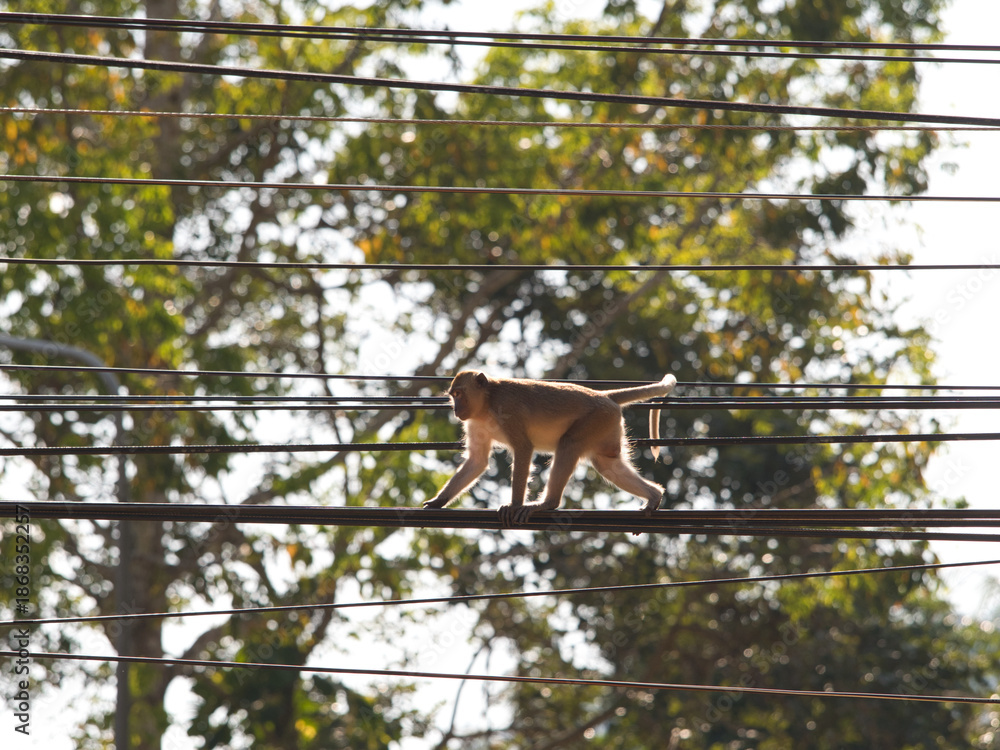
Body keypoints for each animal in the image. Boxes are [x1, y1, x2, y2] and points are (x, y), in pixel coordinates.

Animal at [423, 370, 677, 525]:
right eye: (453, 395)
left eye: (459, 394)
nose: (456, 408)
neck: (487, 403)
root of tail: (603, 395)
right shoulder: (474, 422)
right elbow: (477, 461)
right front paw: (438, 502)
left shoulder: (508, 409)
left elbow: (523, 448)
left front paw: (514, 506)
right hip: (607, 424)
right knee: (607, 464)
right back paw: (654, 495)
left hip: (597, 418)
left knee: (569, 444)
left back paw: (547, 504)